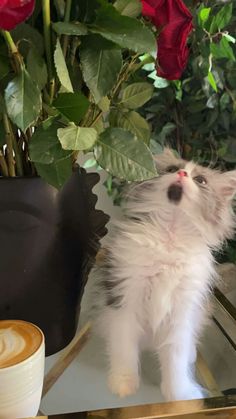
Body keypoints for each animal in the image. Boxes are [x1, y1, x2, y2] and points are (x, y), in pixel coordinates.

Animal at [91, 151, 236, 404]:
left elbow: (175, 357)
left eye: (201, 180)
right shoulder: (126, 299)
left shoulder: (182, 311)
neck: (171, 232)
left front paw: (179, 393)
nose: (182, 173)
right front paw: (123, 382)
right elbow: (124, 346)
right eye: (171, 169)